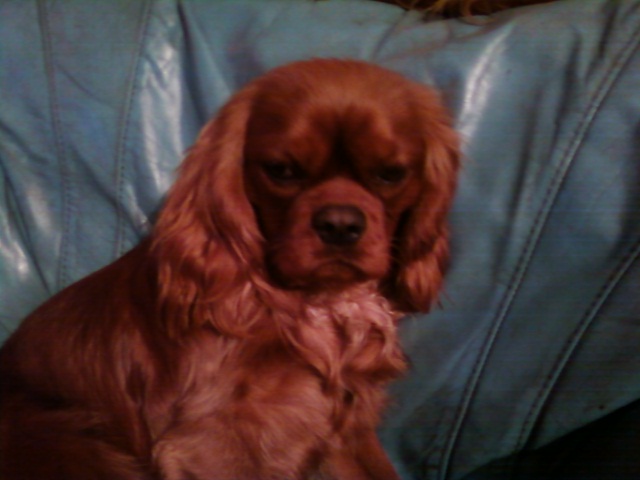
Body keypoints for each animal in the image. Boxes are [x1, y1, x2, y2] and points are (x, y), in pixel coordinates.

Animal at [0, 59, 460, 479]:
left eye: (391, 173)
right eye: (281, 171)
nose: (340, 224)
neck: (318, 305)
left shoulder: (345, 428)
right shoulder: (210, 446)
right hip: (77, 442)